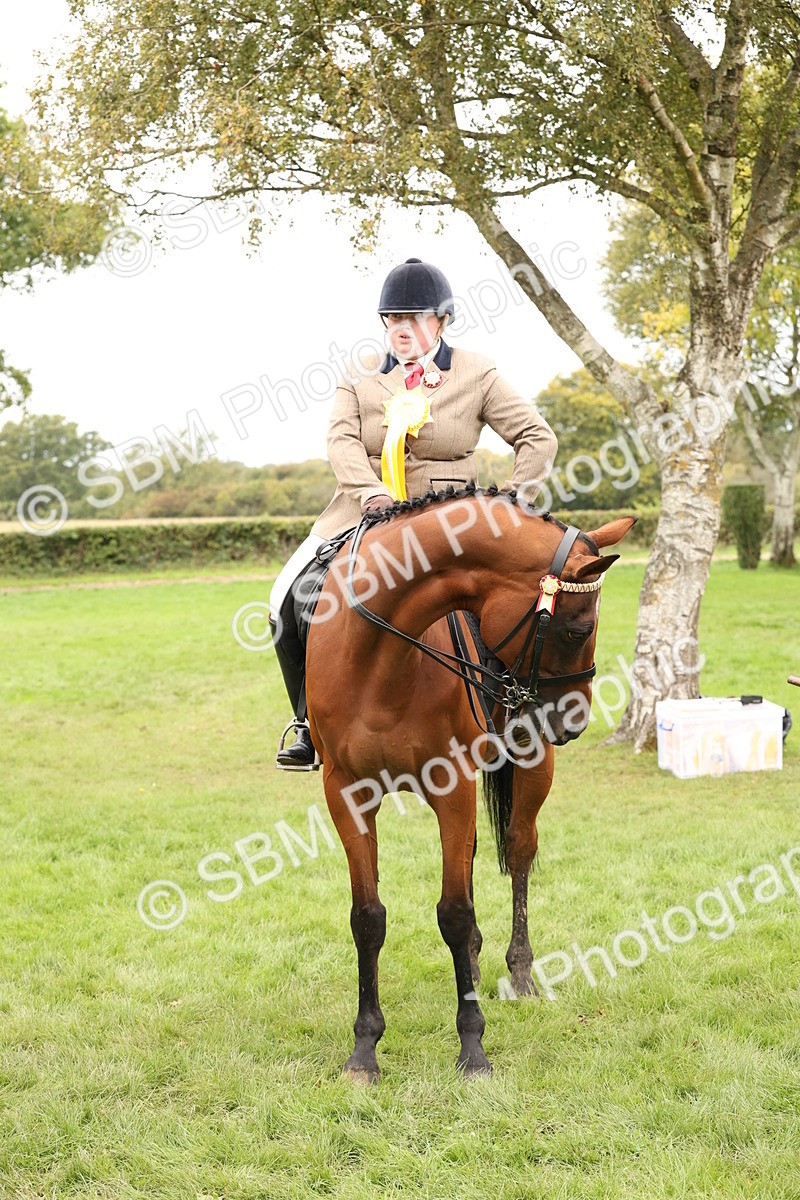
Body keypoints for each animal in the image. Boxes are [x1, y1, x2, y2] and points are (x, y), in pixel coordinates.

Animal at [305, 485, 635, 1080]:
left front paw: (473, 1047)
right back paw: (477, 971)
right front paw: (364, 1050)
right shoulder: (347, 794)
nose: (573, 721)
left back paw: (519, 972)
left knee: (520, 851)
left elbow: (455, 914)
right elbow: (368, 918)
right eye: (578, 629)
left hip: (531, 766)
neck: (377, 659)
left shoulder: (450, 787)